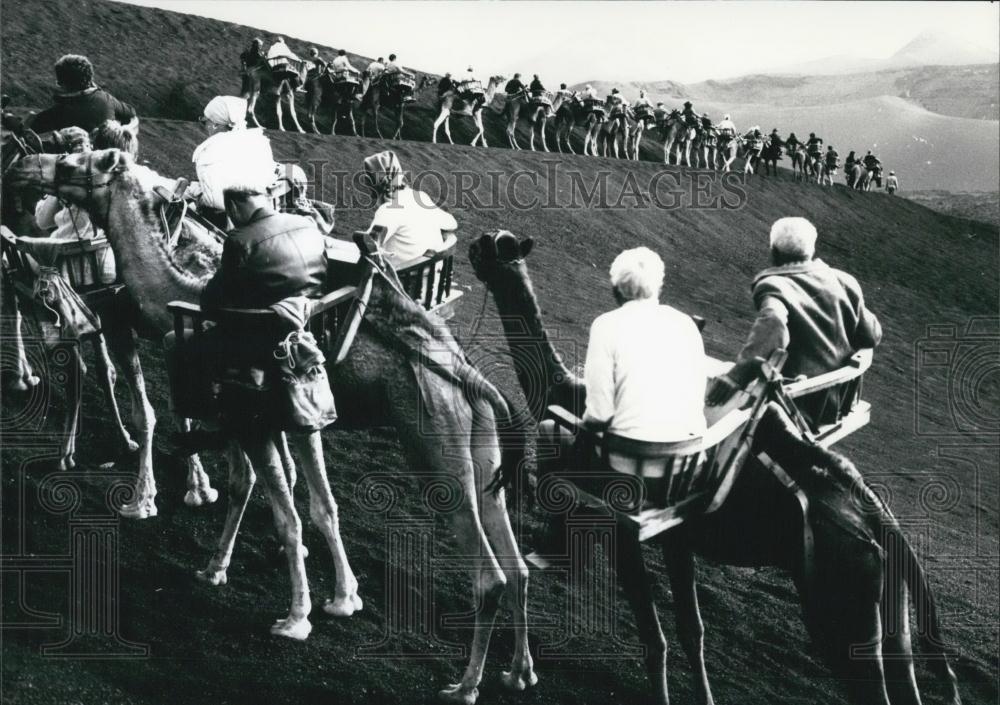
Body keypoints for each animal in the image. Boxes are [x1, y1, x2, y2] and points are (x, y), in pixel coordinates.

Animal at [9, 150, 540, 704]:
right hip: (480, 455)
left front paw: (294, 617)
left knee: (490, 576)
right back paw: (518, 672)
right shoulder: (296, 423)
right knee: (518, 564)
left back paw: (464, 685)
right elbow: (317, 505)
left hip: (436, 451)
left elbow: (278, 509)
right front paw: (335, 596)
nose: (26, 164)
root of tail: (477, 384)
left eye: (78, 161)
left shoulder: (249, 419)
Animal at [464, 230, 964, 704]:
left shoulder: (621, 526)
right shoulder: (677, 538)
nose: (472, 245)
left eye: (495, 246)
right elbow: (692, 631)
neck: (565, 389)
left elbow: (655, 638)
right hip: (888, 601)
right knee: (904, 669)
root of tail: (882, 521)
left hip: (843, 602)